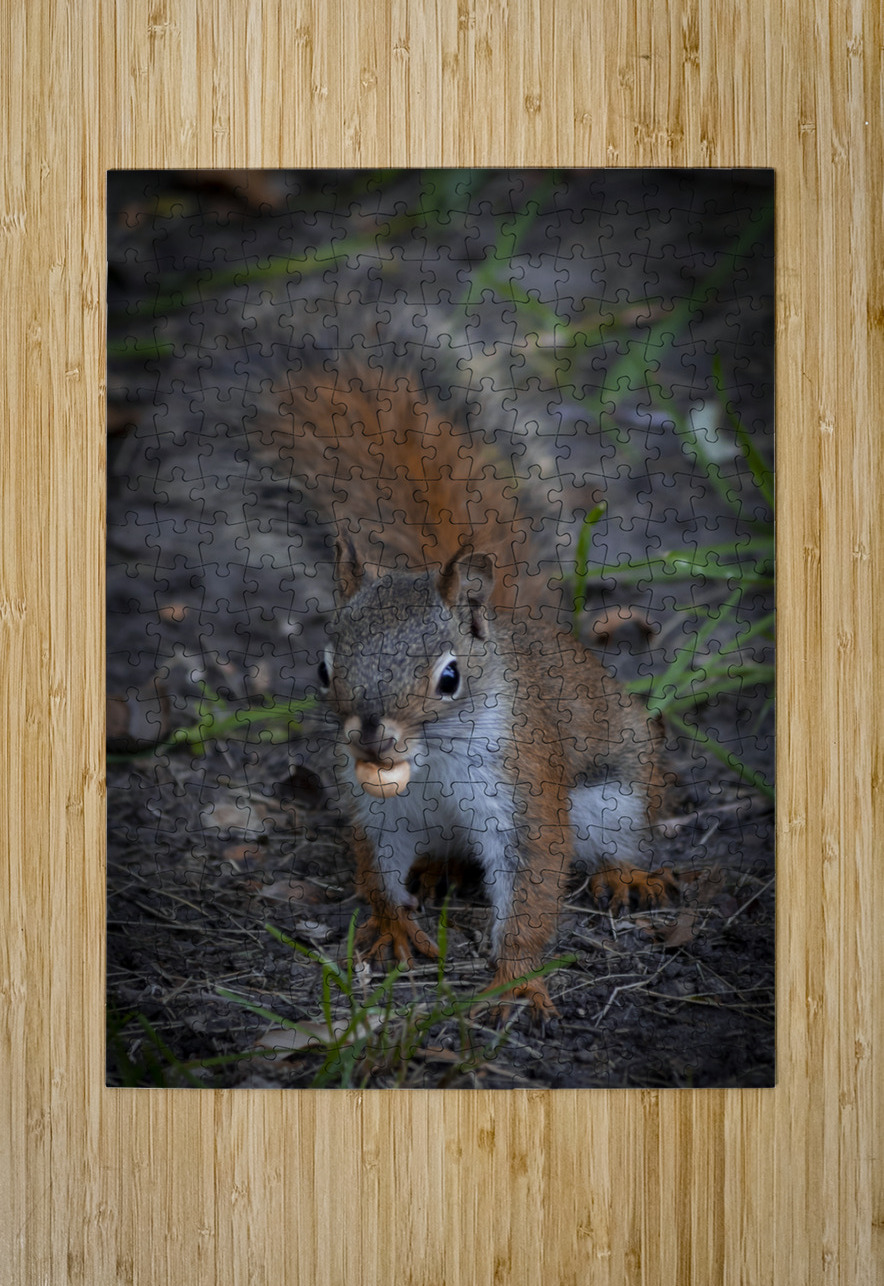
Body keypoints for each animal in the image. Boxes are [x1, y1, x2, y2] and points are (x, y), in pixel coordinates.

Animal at [255, 363, 667, 1020]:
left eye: (449, 678)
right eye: (322, 670)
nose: (371, 737)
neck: (431, 762)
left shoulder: (523, 788)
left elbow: (531, 890)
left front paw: (516, 979)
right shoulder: (378, 810)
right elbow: (377, 870)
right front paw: (393, 923)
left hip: (620, 792)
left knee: (623, 837)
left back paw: (624, 875)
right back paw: (437, 870)